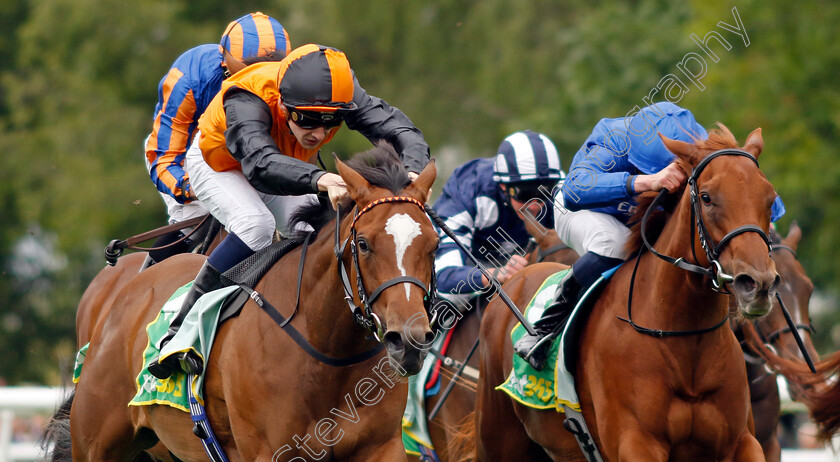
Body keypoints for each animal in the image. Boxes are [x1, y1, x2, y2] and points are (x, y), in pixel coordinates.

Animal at [46, 144, 440, 462]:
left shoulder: (381, 447)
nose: (408, 340)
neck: (328, 353)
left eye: (434, 244)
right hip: (96, 442)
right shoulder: (271, 451)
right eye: (364, 244)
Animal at [466, 126, 780, 462]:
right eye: (707, 198)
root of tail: (516, 277)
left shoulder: (742, 442)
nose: (758, 283)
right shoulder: (635, 443)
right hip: (498, 437)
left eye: (770, 198)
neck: (682, 339)